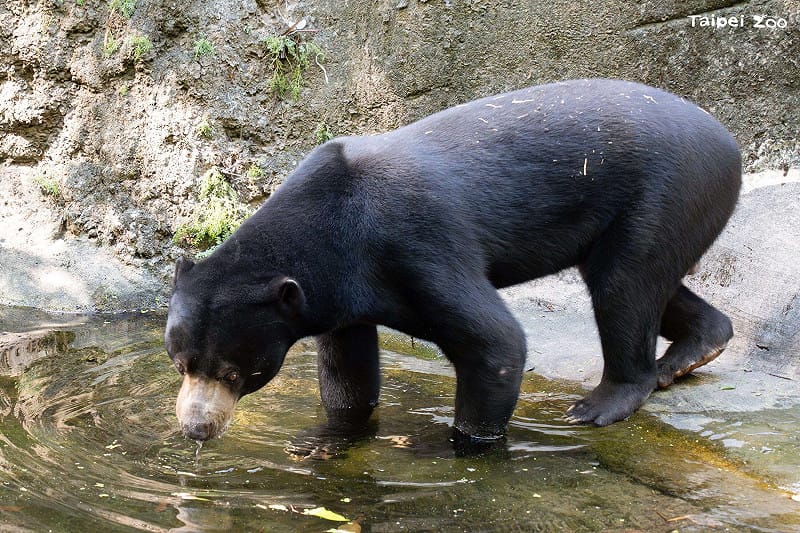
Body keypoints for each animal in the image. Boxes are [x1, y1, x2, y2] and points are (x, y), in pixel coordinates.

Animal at [165, 78, 741, 447]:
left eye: (235, 371)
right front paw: (330, 436)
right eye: (181, 363)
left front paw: (468, 446)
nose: (196, 430)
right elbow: (348, 368)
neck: (329, 228)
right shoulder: (337, 291)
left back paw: (601, 403)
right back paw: (695, 349)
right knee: (641, 281)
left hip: (666, 191)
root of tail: (727, 139)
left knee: (624, 286)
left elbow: (495, 342)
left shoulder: (415, 245)